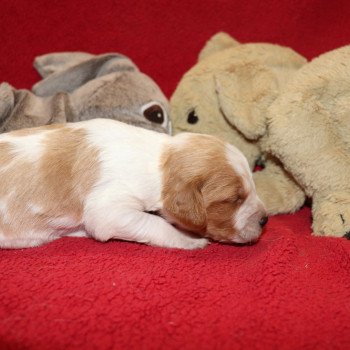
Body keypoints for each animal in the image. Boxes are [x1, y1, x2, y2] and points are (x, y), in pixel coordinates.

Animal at [0, 119, 268, 250]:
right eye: (234, 199)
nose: (265, 220)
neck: (159, 159)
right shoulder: (110, 210)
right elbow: (156, 223)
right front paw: (190, 239)